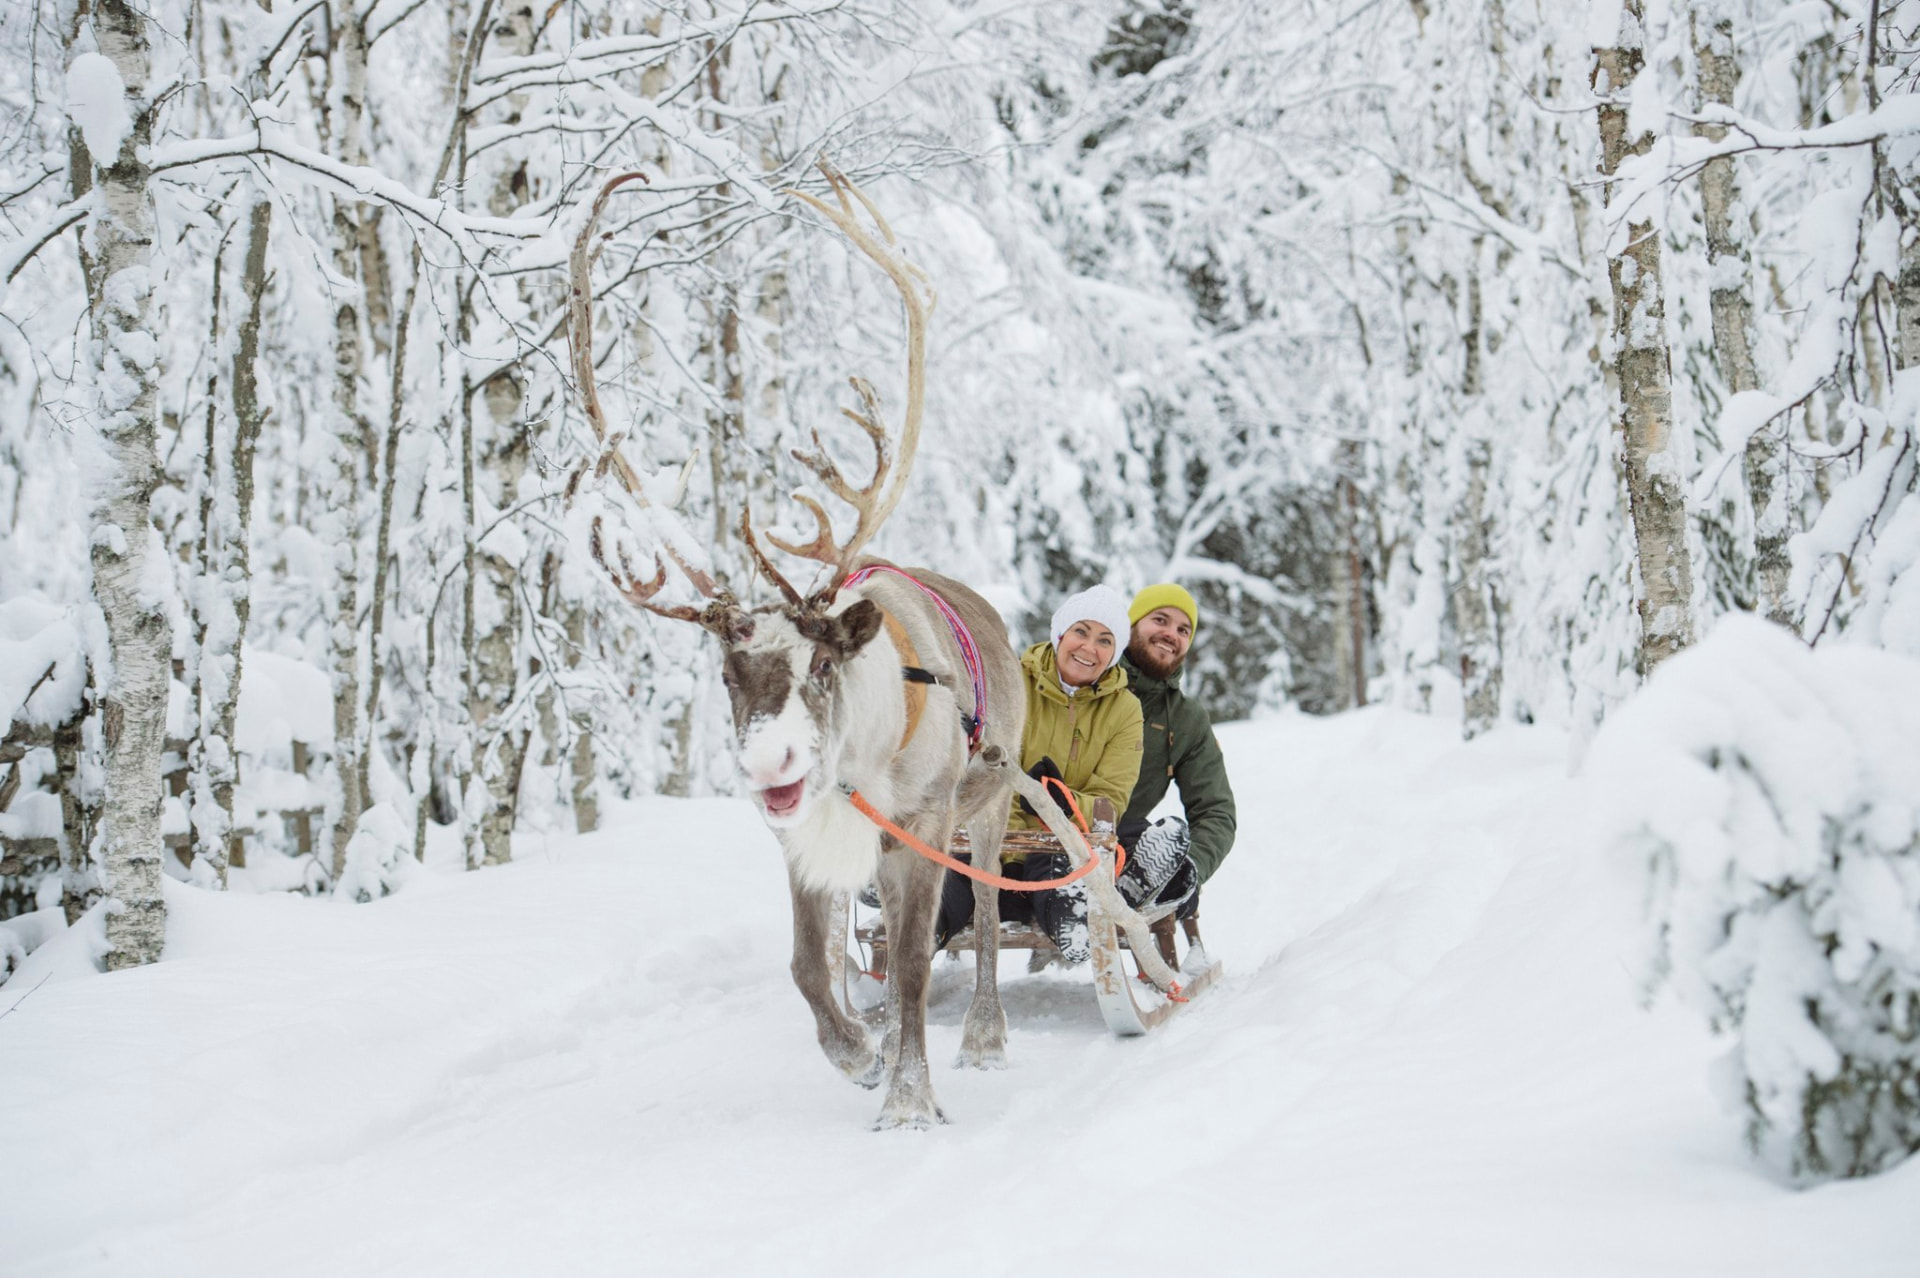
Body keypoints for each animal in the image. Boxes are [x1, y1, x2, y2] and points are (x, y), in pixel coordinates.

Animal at [565, 163, 1024, 1128]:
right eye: (727, 673)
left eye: (820, 664)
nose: (767, 761)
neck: (859, 760)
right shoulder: (799, 840)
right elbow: (811, 968)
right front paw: (858, 1055)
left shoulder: (923, 824)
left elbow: (919, 963)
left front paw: (909, 1101)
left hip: (994, 803)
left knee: (989, 913)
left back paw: (985, 1036)